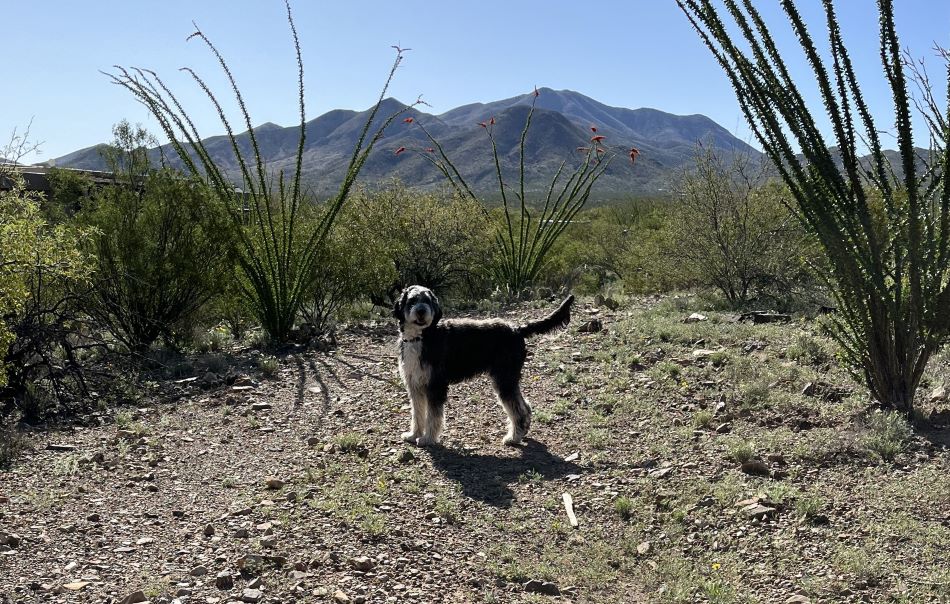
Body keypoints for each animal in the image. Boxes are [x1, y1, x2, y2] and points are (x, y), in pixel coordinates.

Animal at [392, 286, 572, 446]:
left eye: (428, 301)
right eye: (412, 300)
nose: (421, 311)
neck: (421, 337)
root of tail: (517, 329)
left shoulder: (435, 386)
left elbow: (433, 415)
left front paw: (428, 439)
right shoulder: (415, 385)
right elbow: (417, 413)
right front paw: (413, 434)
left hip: (504, 380)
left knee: (518, 410)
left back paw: (513, 437)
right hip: (507, 380)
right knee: (525, 406)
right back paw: (522, 432)